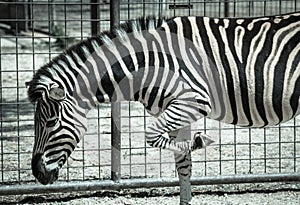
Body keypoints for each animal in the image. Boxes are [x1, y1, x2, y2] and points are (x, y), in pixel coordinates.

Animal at [27, 12, 300, 204]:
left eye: (50, 123)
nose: (38, 174)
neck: (149, 62)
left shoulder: (193, 101)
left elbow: (151, 136)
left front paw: (200, 141)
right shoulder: (178, 112)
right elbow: (183, 165)